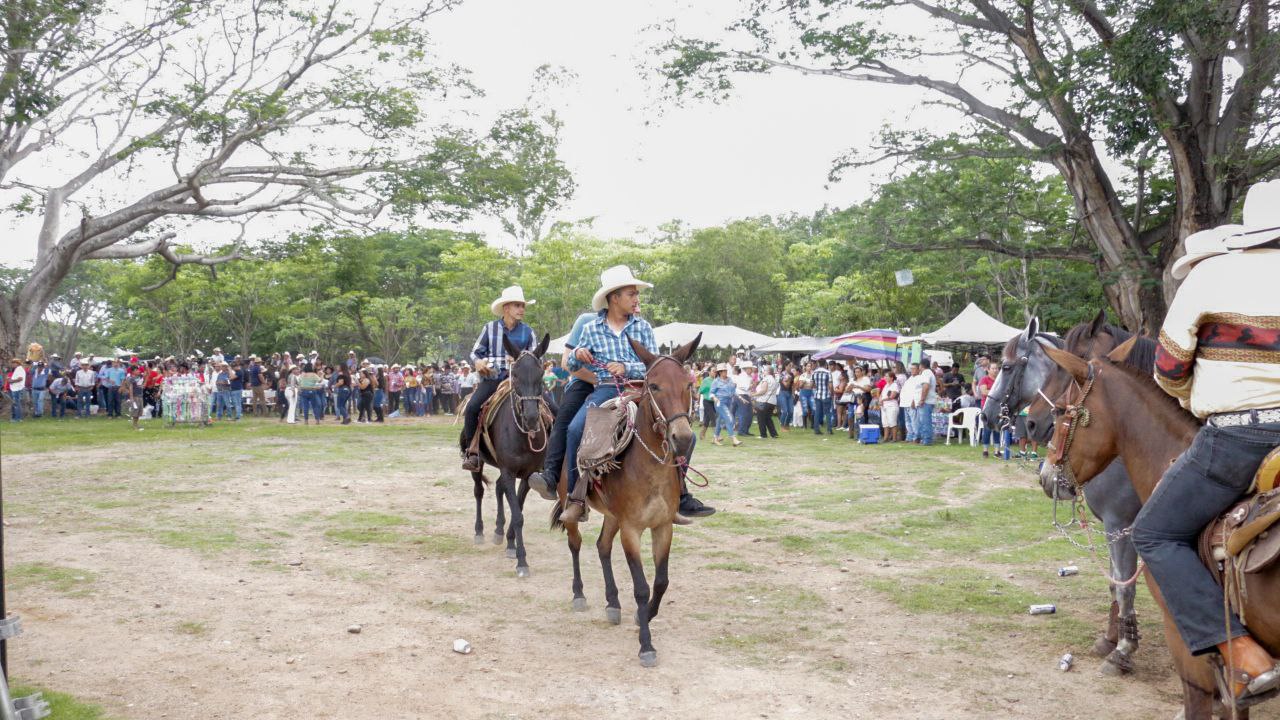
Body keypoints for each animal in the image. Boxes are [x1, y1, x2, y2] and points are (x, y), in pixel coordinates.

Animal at [468, 333, 552, 576]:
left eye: (541, 375)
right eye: (515, 375)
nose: (532, 418)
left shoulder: (526, 474)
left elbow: (518, 509)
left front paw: (511, 543)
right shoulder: (508, 471)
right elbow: (517, 515)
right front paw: (522, 561)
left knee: (498, 488)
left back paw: (498, 531)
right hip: (477, 463)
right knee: (479, 491)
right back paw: (479, 531)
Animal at [547, 333, 701, 666]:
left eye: (688, 384)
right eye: (653, 385)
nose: (681, 437)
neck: (650, 467)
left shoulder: (662, 527)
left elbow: (661, 582)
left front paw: (647, 616)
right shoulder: (631, 529)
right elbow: (641, 587)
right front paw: (646, 645)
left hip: (612, 515)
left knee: (602, 547)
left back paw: (613, 602)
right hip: (574, 506)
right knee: (576, 544)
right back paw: (579, 594)